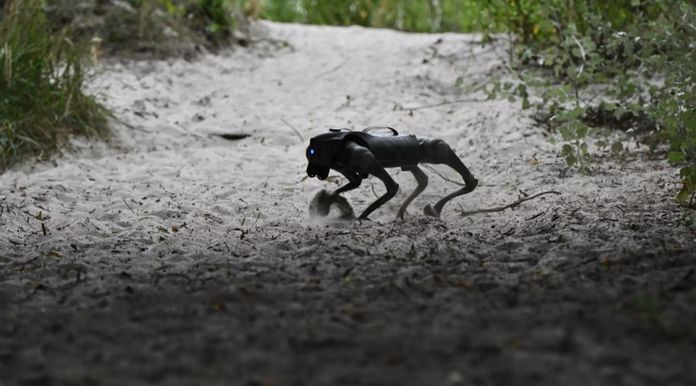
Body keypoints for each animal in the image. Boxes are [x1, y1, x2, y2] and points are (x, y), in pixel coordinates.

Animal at [306, 126, 478, 219]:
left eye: (312, 153)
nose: (309, 172)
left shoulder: (361, 157)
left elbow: (392, 186)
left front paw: (359, 219)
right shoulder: (340, 166)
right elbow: (354, 182)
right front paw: (327, 200)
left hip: (421, 152)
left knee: (439, 147)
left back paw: (435, 208)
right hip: (409, 161)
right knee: (423, 178)